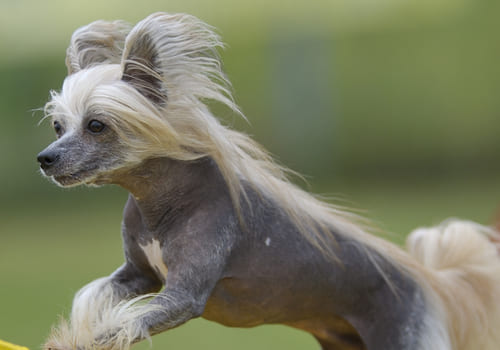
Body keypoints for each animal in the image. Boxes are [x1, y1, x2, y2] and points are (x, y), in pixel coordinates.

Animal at [37, 11, 500, 350]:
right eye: (59, 126)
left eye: (97, 125)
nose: (45, 159)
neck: (164, 203)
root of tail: (436, 285)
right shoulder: (136, 278)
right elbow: (95, 299)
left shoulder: (182, 296)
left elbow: (121, 325)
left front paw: (76, 341)